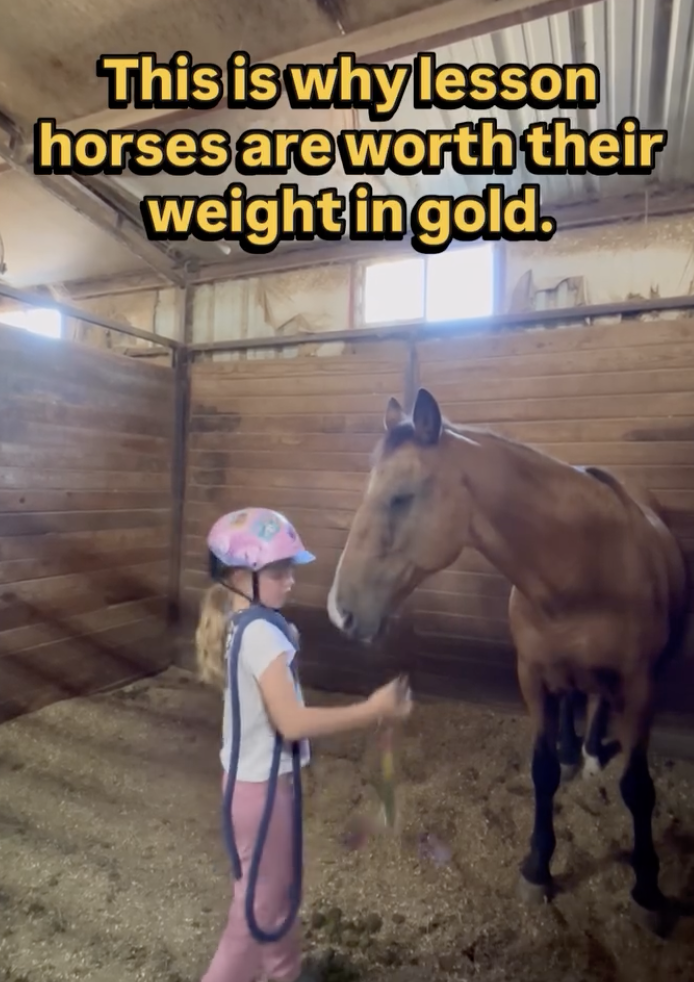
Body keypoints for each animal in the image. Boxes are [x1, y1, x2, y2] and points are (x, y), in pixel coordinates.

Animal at [327, 387, 688, 935]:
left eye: (402, 496)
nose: (339, 610)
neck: (583, 566)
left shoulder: (642, 686)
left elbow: (637, 788)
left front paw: (647, 889)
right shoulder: (532, 676)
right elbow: (542, 771)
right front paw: (537, 867)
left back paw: (590, 754)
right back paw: (574, 751)